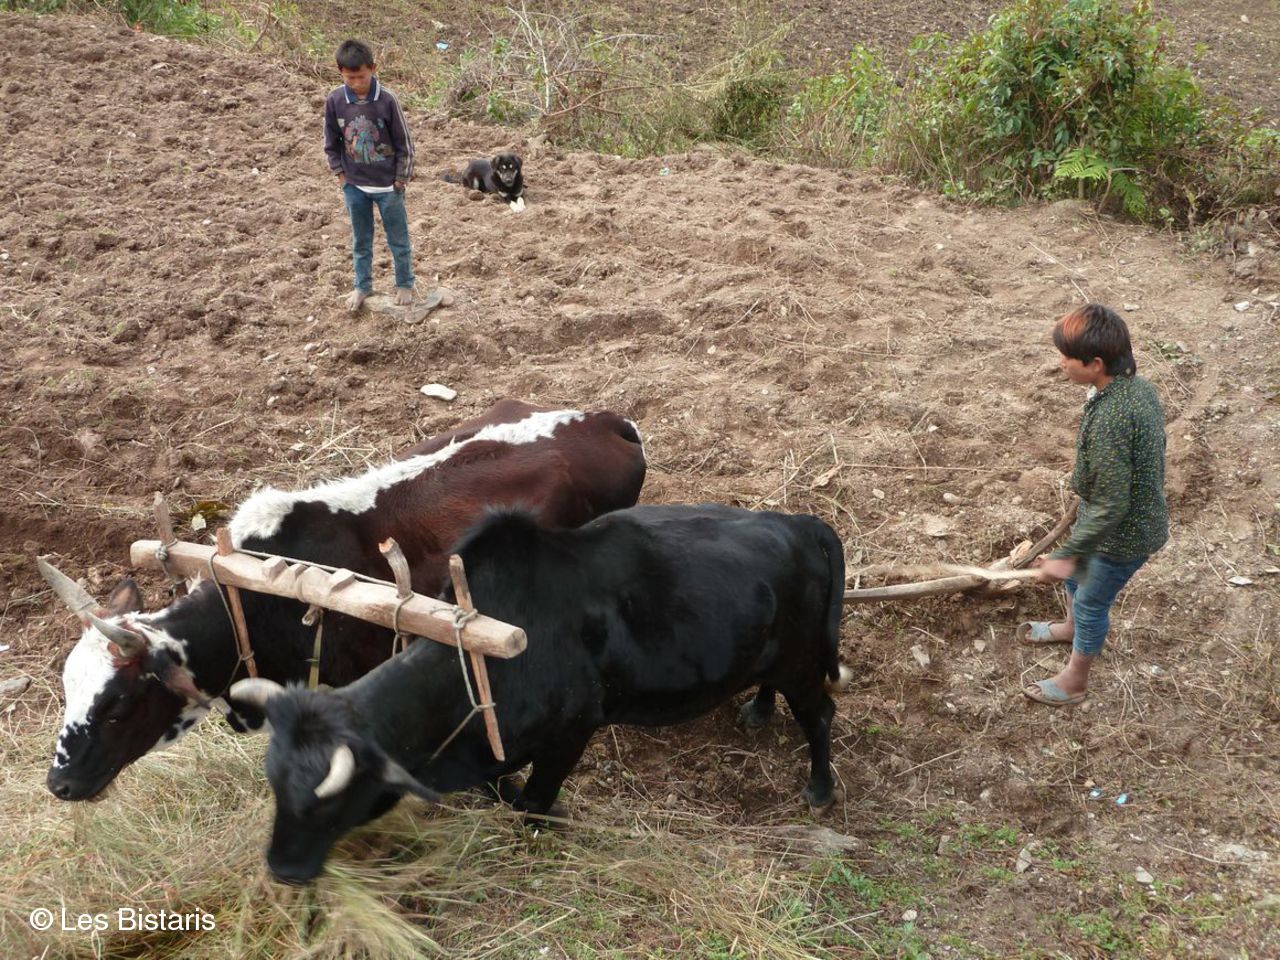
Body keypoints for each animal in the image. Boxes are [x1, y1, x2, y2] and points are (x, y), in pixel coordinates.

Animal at [231, 503, 849, 884]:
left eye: (329, 800)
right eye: (276, 785)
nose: (280, 869)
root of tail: (797, 522)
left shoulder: (572, 732)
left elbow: (533, 802)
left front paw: (547, 823)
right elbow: (502, 789)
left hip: (802, 662)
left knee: (820, 714)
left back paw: (820, 788)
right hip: (773, 655)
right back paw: (758, 710)